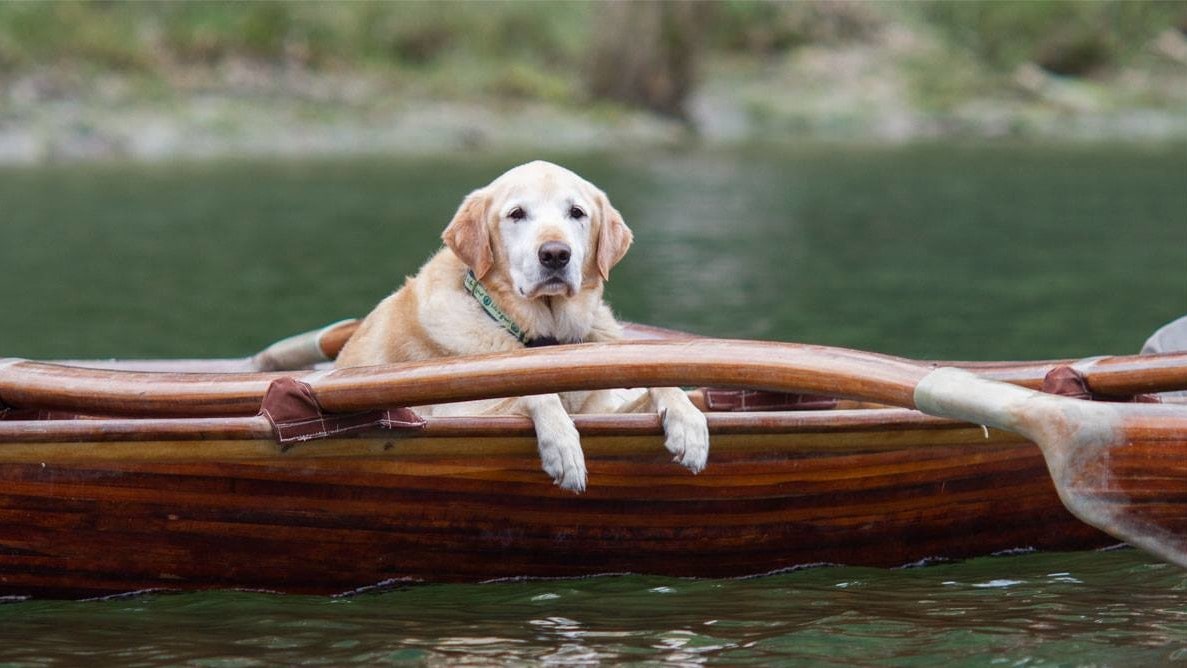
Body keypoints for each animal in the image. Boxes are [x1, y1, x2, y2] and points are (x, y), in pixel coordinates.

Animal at [337, 157, 702, 491]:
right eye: (517, 214)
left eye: (577, 212)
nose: (555, 254)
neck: (546, 336)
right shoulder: (453, 413)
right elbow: (535, 394)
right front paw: (563, 446)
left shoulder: (606, 410)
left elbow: (662, 385)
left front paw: (689, 423)